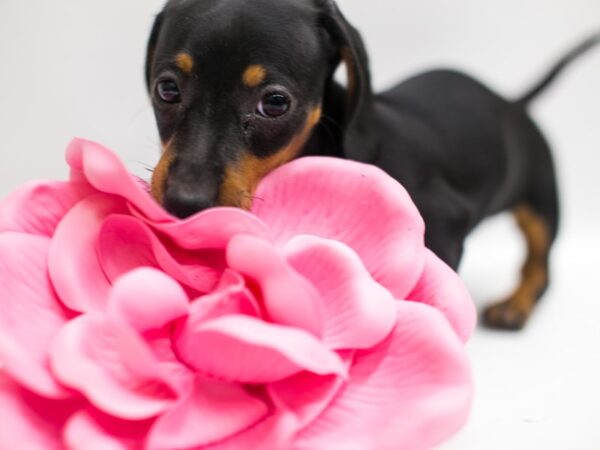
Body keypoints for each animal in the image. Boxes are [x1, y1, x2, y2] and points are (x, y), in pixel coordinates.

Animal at [145, 0, 600, 330]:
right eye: (167, 89)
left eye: (274, 103)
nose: (185, 202)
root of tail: (512, 103)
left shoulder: (443, 226)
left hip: (541, 198)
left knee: (539, 263)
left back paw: (515, 305)